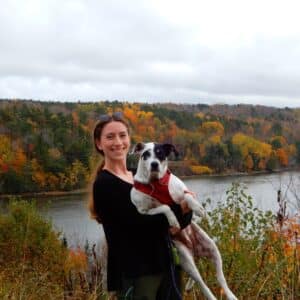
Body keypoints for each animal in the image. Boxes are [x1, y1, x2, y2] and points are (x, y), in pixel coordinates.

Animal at [130, 142, 238, 300]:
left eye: (160, 153)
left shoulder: (184, 191)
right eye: (146, 154)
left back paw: (230, 295)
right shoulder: (143, 211)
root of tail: (193, 248)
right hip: (186, 260)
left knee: (221, 278)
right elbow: (164, 207)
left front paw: (198, 209)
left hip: (213, 249)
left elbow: (187, 197)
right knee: (202, 283)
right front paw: (173, 220)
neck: (156, 183)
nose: (154, 164)